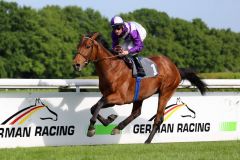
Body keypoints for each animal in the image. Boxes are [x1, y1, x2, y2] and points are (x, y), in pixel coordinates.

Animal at [71, 31, 206, 143]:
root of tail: (175, 68)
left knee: (158, 118)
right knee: (136, 113)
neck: (112, 68)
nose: (76, 64)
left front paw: (91, 129)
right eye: (78, 46)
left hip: (165, 92)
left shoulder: (120, 98)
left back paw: (147, 141)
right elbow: (94, 108)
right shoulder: (109, 96)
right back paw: (118, 127)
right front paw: (109, 119)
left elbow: (98, 104)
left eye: (88, 46)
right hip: (140, 95)